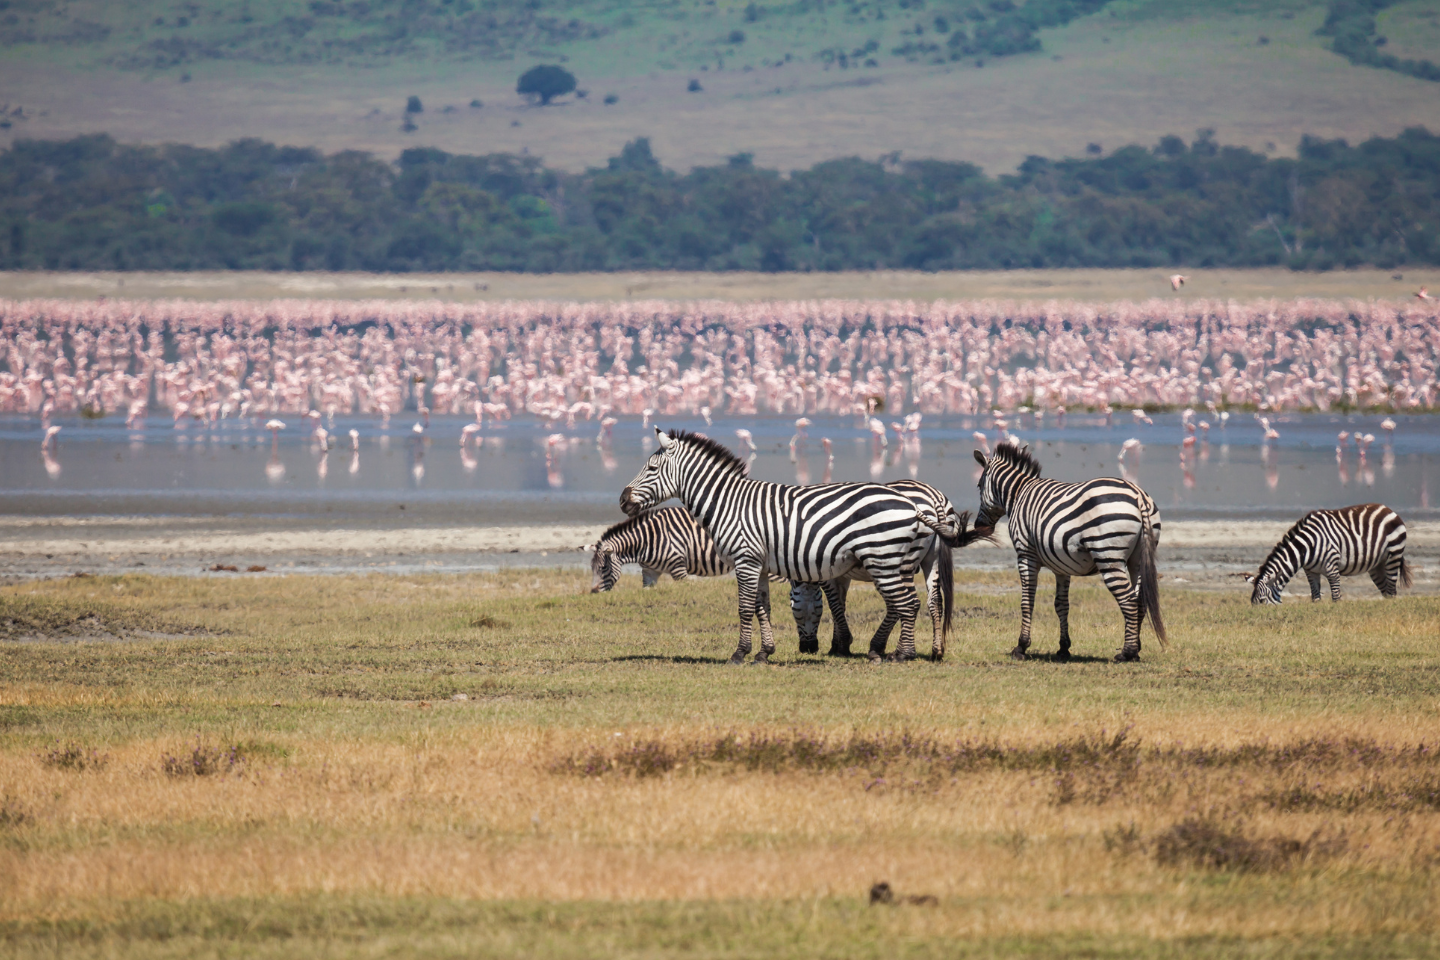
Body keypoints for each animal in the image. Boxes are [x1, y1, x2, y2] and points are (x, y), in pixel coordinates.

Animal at [619, 428, 956, 664]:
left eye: (651, 469)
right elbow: (762, 608)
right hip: (908, 561)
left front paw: (739, 654)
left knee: (907, 603)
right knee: (922, 602)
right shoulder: (759, 564)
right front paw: (764, 652)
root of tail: (916, 504)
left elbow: (744, 608)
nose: (622, 500)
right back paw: (918, 651)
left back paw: (900, 654)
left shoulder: (745, 560)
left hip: (884, 559)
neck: (728, 503)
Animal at [973, 440, 1163, 662]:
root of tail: (1138, 495)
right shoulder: (1061, 565)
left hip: (1109, 555)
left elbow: (1027, 600)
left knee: (1129, 601)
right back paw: (1136, 651)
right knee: (1140, 600)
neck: (1019, 494)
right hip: (1138, 559)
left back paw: (1127, 652)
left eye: (979, 486)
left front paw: (1021, 646)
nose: (978, 527)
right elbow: (1061, 604)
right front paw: (1063, 648)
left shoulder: (1025, 554)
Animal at [1244, 503, 1411, 601]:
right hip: (1377, 566)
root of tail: (1387, 509)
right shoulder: (1310, 572)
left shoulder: (1332, 570)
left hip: (1393, 556)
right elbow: (1315, 597)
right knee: (1386, 592)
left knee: (1392, 591)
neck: (1306, 548)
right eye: (1252, 602)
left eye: (1262, 601)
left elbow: (1336, 597)